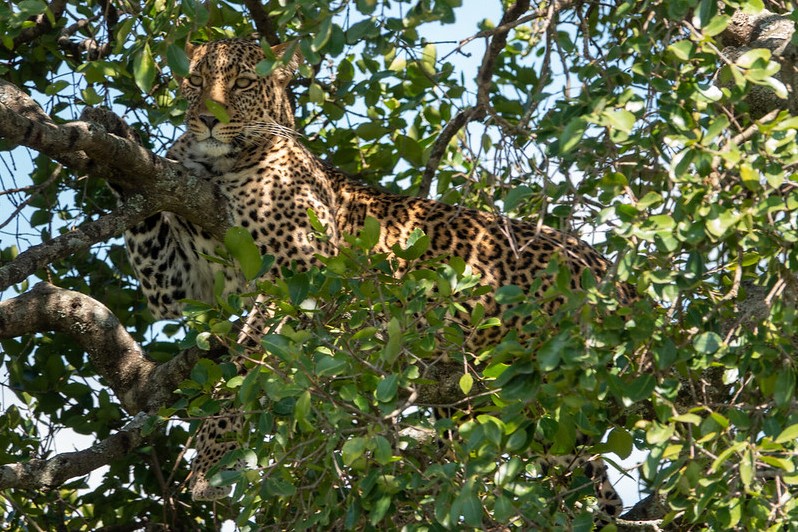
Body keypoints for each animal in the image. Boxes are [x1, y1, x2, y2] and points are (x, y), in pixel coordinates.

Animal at [123, 38, 631, 520]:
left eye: (243, 83)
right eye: (194, 81)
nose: (207, 119)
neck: (216, 166)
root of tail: (617, 277)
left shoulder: (304, 271)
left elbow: (249, 365)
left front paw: (209, 464)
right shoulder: (178, 282)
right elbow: (144, 215)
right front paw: (119, 134)